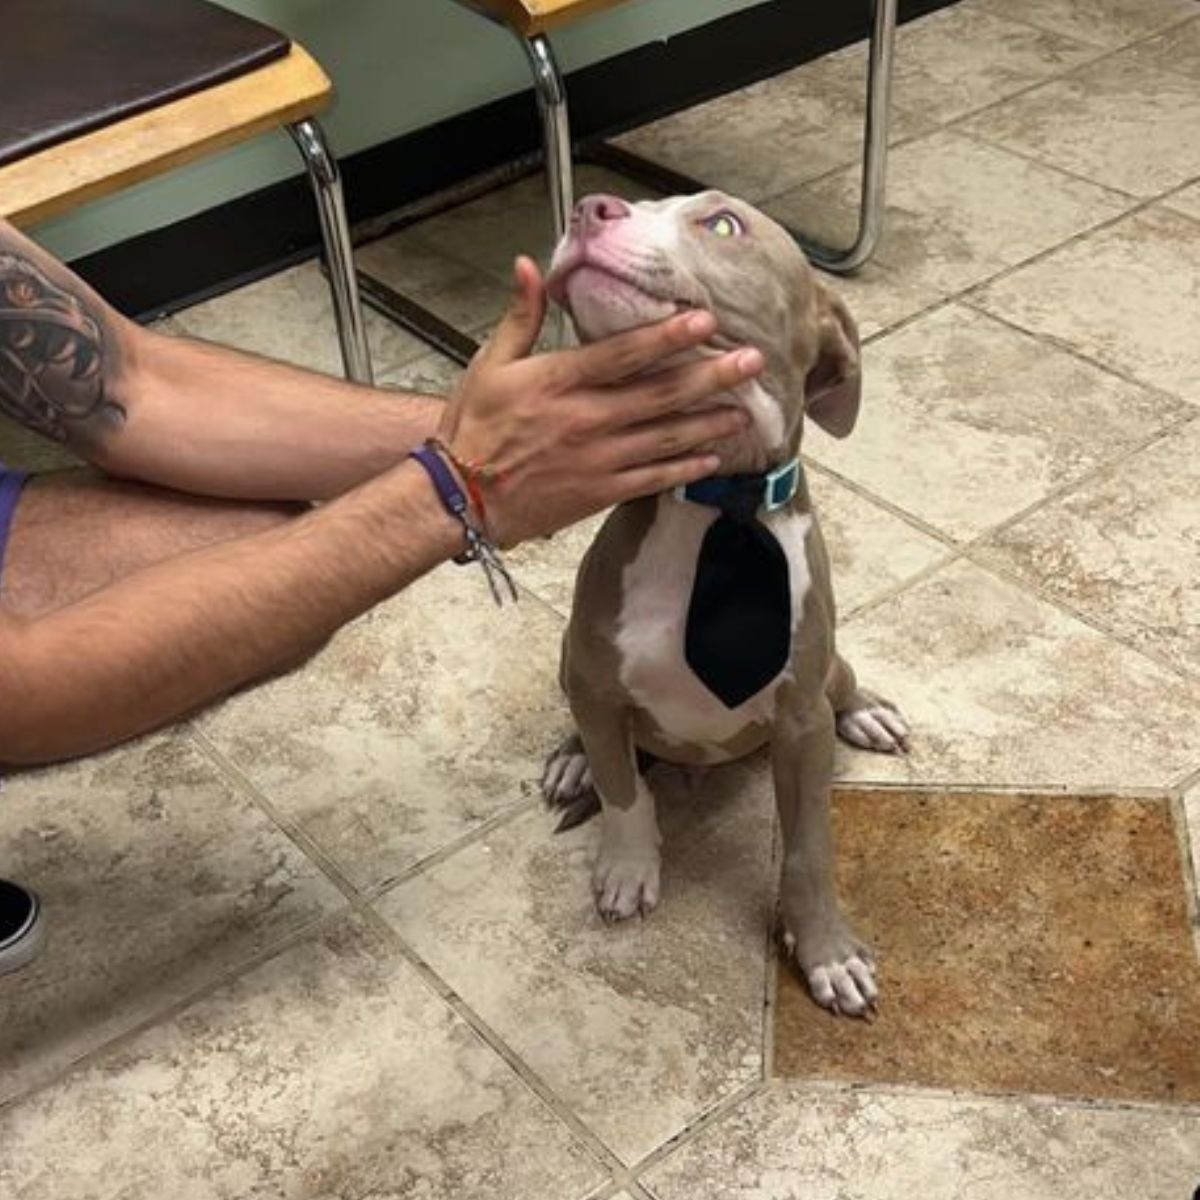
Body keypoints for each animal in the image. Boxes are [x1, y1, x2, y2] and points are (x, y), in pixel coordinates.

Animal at [540, 192, 902, 1017]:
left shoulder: (799, 721)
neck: (718, 503)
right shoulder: (596, 678)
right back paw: (573, 760)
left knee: (843, 682)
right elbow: (624, 787)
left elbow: (808, 848)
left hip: (826, 671)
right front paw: (627, 867)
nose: (589, 205)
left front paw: (827, 951)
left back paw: (867, 711)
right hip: (571, 664)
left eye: (723, 223)